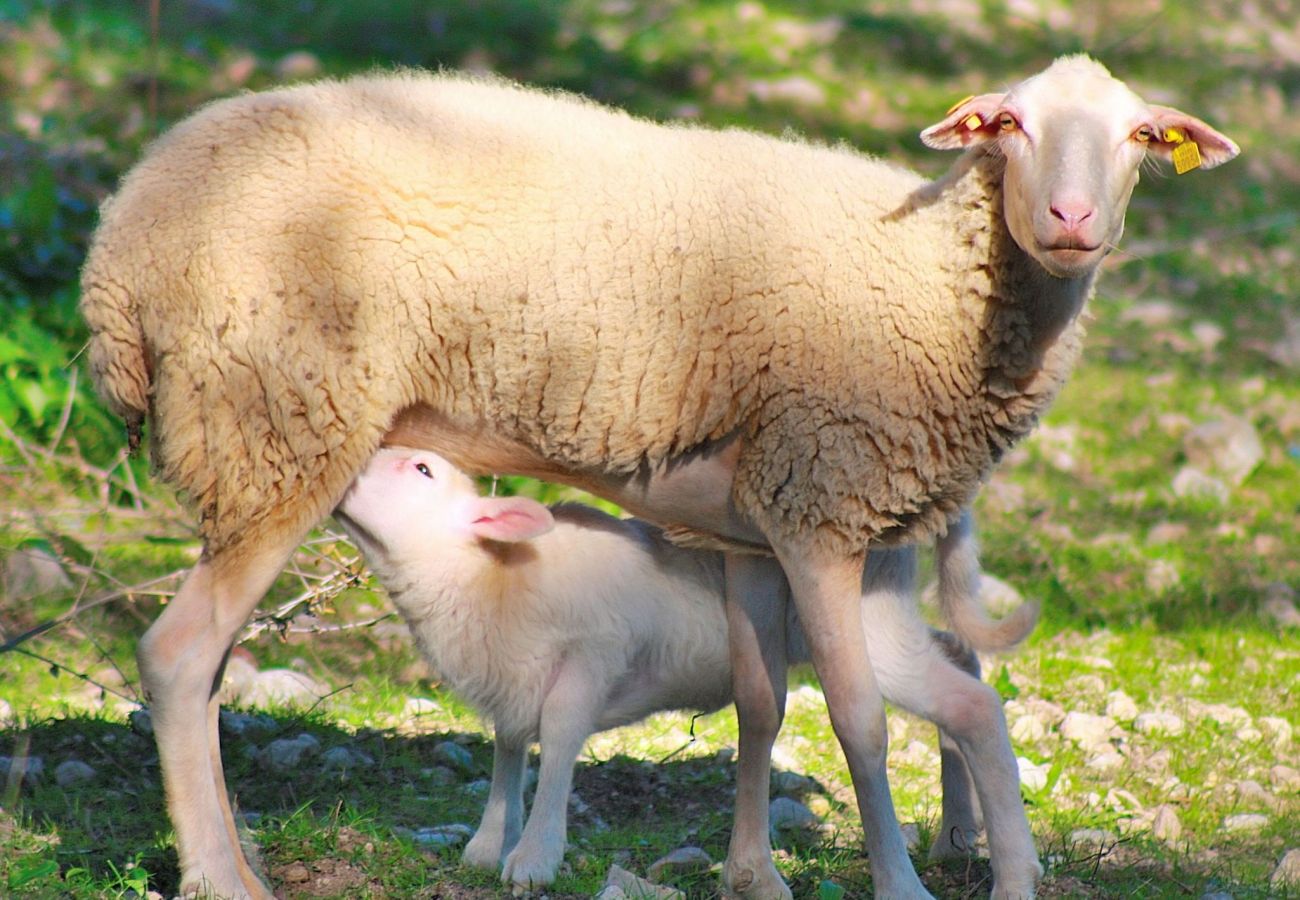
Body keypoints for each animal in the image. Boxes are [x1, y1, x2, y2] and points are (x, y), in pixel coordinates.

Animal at [335, 447, 1034, 889]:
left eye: (421, 467)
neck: (486, 574)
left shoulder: (593, 654)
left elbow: (557, 736)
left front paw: (535, 858)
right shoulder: (511, 679)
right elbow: (508, 749)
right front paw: (486, 846)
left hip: (866, 620)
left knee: (973, 705)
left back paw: (1014, 873)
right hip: (887, 618)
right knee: (961, 658)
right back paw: (956, 836)